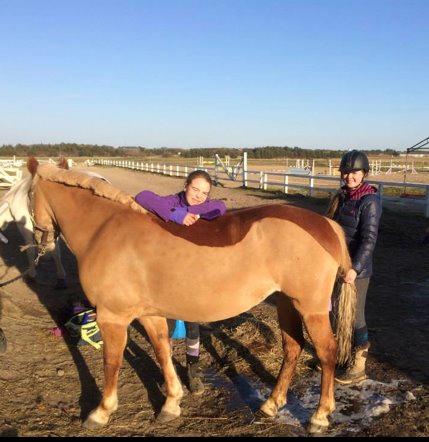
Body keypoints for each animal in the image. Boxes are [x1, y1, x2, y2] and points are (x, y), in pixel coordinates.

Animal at [26, 157, 354, 434]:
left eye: (28, 195)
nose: (39, 239)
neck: (104, 229)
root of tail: (326, 225)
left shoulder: (112, 317)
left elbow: (112, 362)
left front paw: (101, 411)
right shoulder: (150, 314)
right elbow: (162, 351)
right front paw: (171, 403)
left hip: (311, 308)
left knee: (327, 352)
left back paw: (319, 417)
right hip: (287, 303)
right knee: (293, 348)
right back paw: (271, 404)